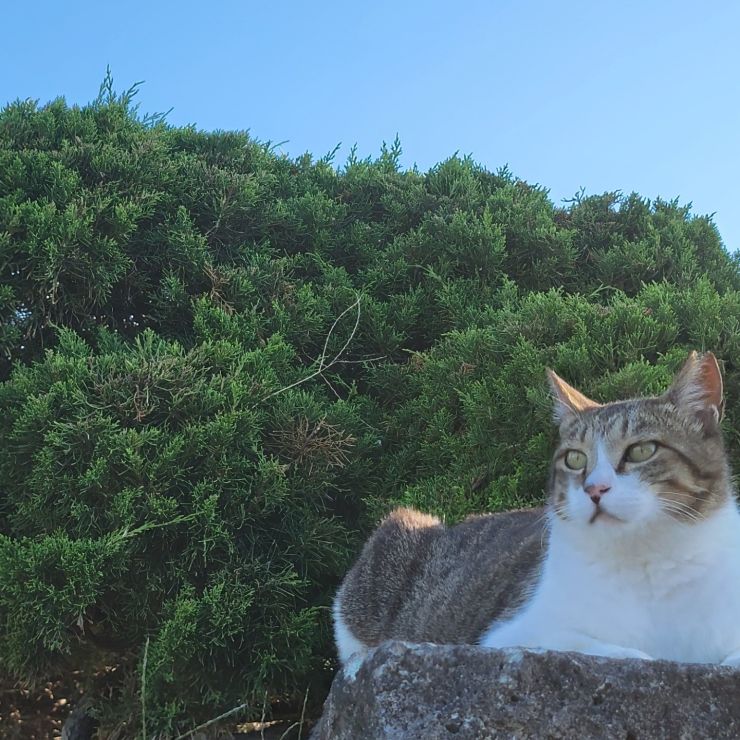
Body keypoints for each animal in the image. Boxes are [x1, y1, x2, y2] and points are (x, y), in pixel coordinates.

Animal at [330, 350, 740, 668]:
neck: (648, 560)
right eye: (575, 459)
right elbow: (592, 645)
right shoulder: (507, 634)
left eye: (641, 450)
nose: (594, 489)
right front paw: (636, 654)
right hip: (392, 541)